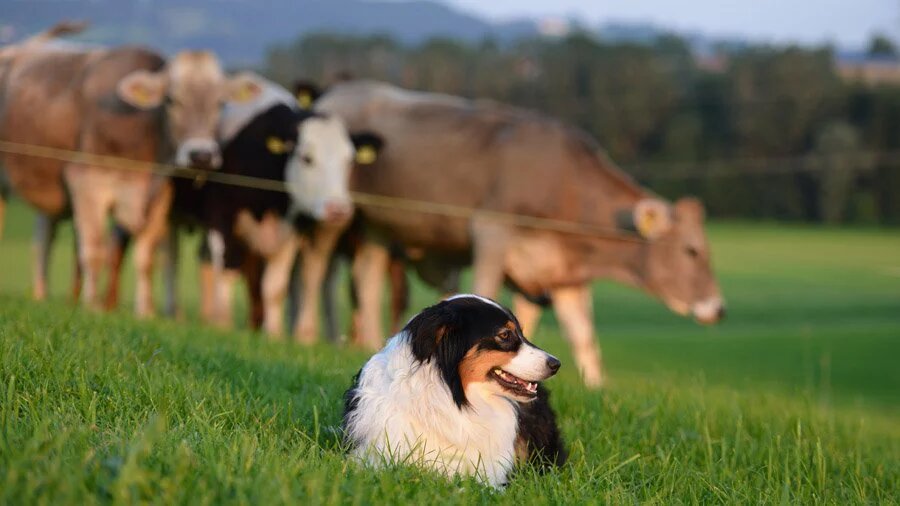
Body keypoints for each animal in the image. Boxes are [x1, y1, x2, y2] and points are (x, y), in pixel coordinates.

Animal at [0, 24, 264, 316]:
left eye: (220, 103)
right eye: (171, 100)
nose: (202, 155)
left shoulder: (159, 197)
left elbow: (146, 255)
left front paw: (145, 312)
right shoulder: (86, 183)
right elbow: (94, 250)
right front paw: (92, 307)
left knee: (43, 240)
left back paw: (41, 295)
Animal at [316, 80, 724, 388]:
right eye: (691, 251)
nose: (719, 309)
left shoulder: (558, 275)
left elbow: (582, 336)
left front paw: (596, 387)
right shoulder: (491, 232)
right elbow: (484, 292)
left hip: (379, 229)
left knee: (367, 278)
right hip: (342, 221)